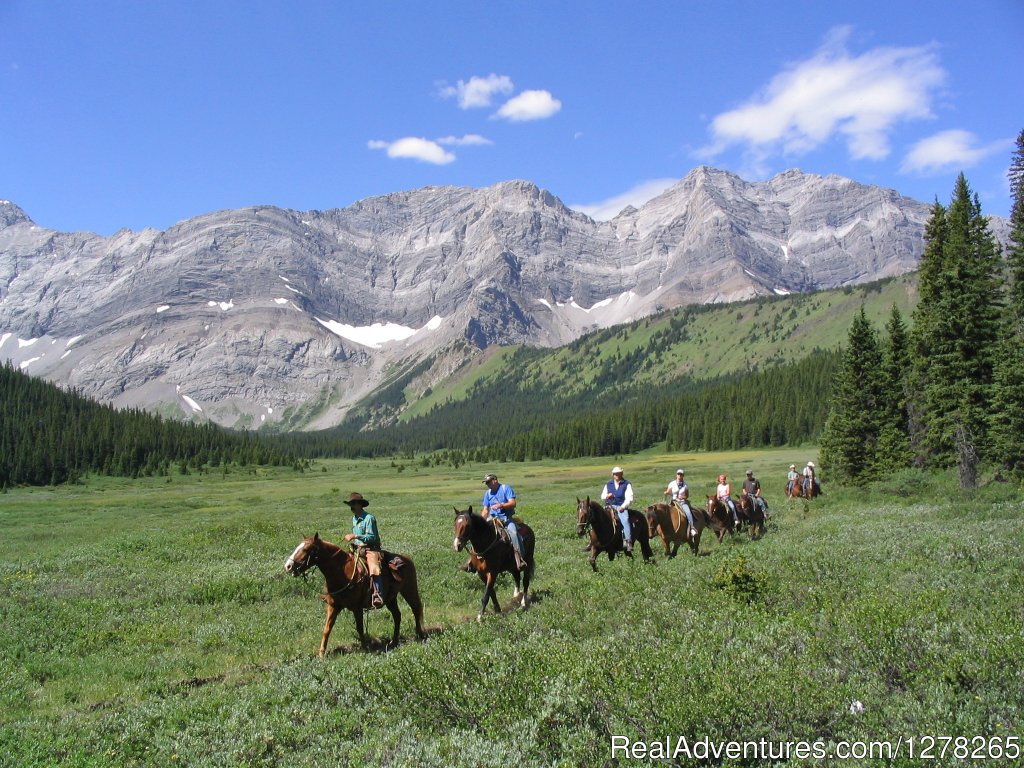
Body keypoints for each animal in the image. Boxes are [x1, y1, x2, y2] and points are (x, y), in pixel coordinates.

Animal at [284, 536, 423, 655]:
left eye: (306, 549)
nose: (288, 566)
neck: (342, 572)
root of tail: (407, 559)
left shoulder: (357, 608)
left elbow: (360, 628)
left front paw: (365, 648)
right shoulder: (333, 606)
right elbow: (327, 628)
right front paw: (321, 653)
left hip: (409, 590)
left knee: (416, 609)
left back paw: (419, 635)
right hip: (391, 598)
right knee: (397, 615)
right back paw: (394, 641)